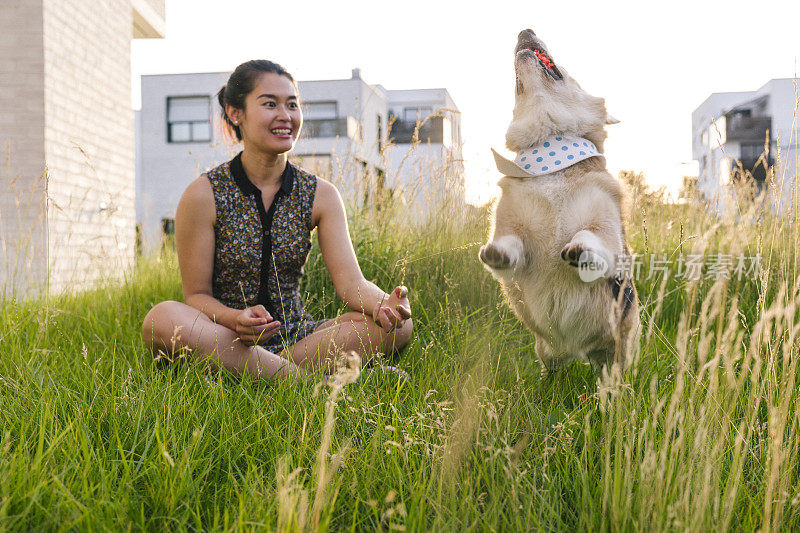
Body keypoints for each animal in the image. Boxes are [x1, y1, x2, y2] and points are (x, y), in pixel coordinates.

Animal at [478, 28, 640, 370]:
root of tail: (578, 352)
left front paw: (580, 249)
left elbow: (589, 235)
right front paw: (498, 253)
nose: (524, 29)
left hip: (619, 348)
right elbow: (510, 243)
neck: (550, 153)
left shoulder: (608, 234)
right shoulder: (511, 232)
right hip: (545, 351)